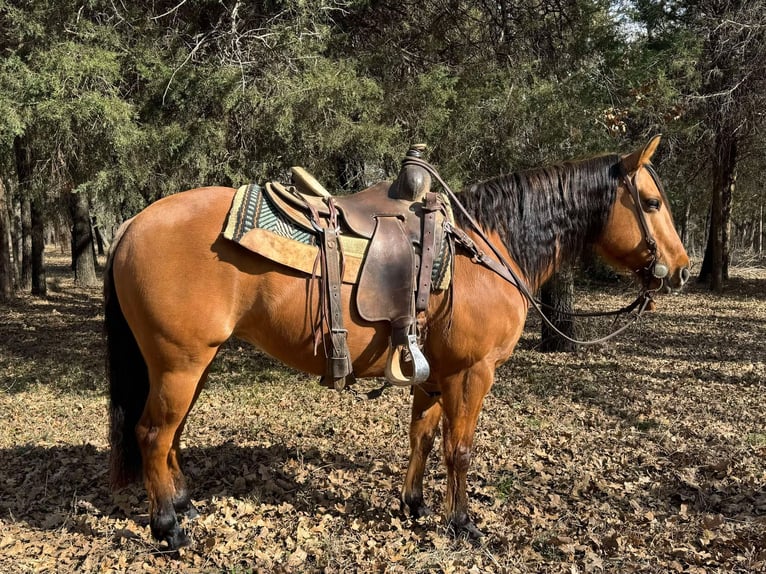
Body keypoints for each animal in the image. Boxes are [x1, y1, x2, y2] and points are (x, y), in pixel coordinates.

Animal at [105, 136, 690, 548]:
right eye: (651, 202)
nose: (681, 268)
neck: (484, 249)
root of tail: (132, 223)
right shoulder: (472, 373)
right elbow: (459, 449)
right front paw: (463, 524)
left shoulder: (434, 373)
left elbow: (423, 439)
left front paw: (415, 506)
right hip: (179, 363)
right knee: (153, 434)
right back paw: (168, 527)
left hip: (192, 365)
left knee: (172, 435)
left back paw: (183, 504)